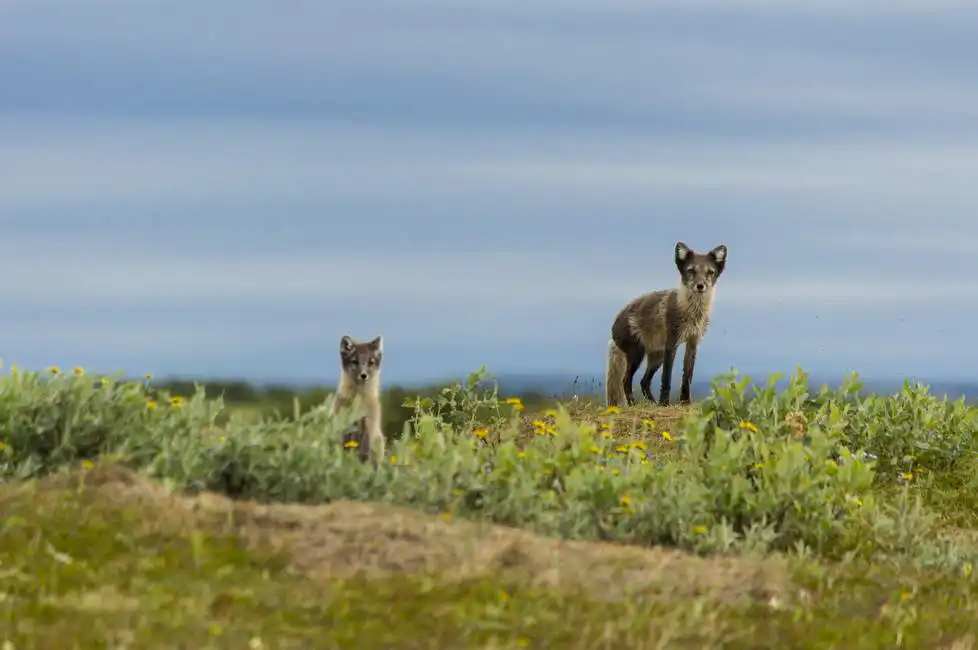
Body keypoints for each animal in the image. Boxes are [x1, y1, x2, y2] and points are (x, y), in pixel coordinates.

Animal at [605, 241, 728, 407]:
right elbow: (666, 378)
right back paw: (634, 404)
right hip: (638, 354)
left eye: (710, 272)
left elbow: (687, 377)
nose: (700, 285)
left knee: (644, 381)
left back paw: (652, 403)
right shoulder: (672, 343)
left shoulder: (693, 343)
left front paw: (685, 402)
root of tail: (614, 325)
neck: (692, 312)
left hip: (657, 357)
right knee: (626, 380)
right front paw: (664, 403)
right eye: (691, 271)